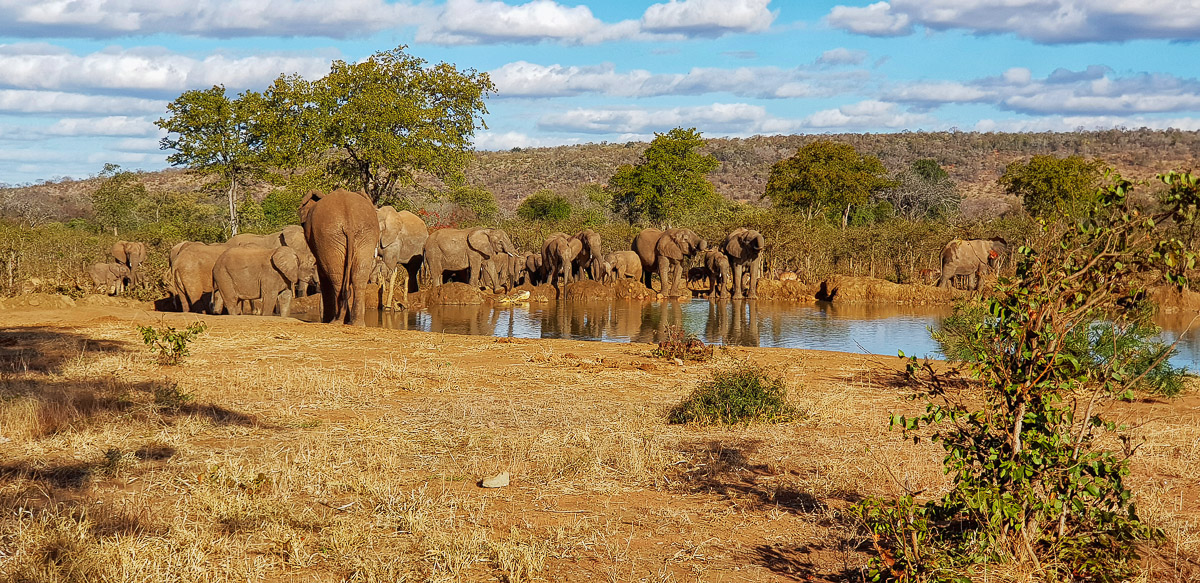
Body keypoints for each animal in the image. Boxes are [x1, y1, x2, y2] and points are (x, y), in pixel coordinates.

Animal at [300, 188, 381, 325]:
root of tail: (349, 221)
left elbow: (323, 275)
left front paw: (327, 321)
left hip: (329, 237)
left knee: (336, 276)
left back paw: (335, 321)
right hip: (366, 234)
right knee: (359, 276)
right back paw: (356, 323)